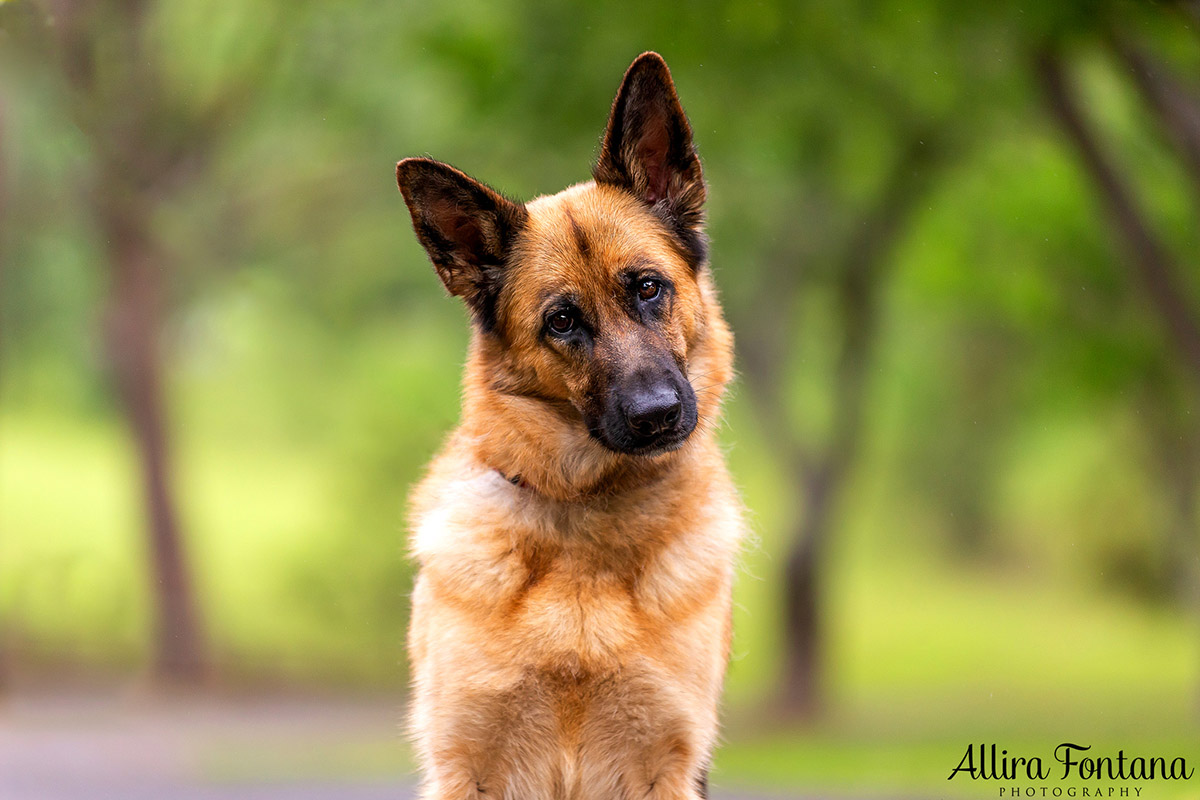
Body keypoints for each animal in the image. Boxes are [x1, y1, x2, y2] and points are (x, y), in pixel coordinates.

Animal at [398, 53, 744, 800]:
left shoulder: (663, 764)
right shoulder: (468, 764)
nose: (657, 415)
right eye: (562, 321)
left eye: (647, 287)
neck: (587, 522)